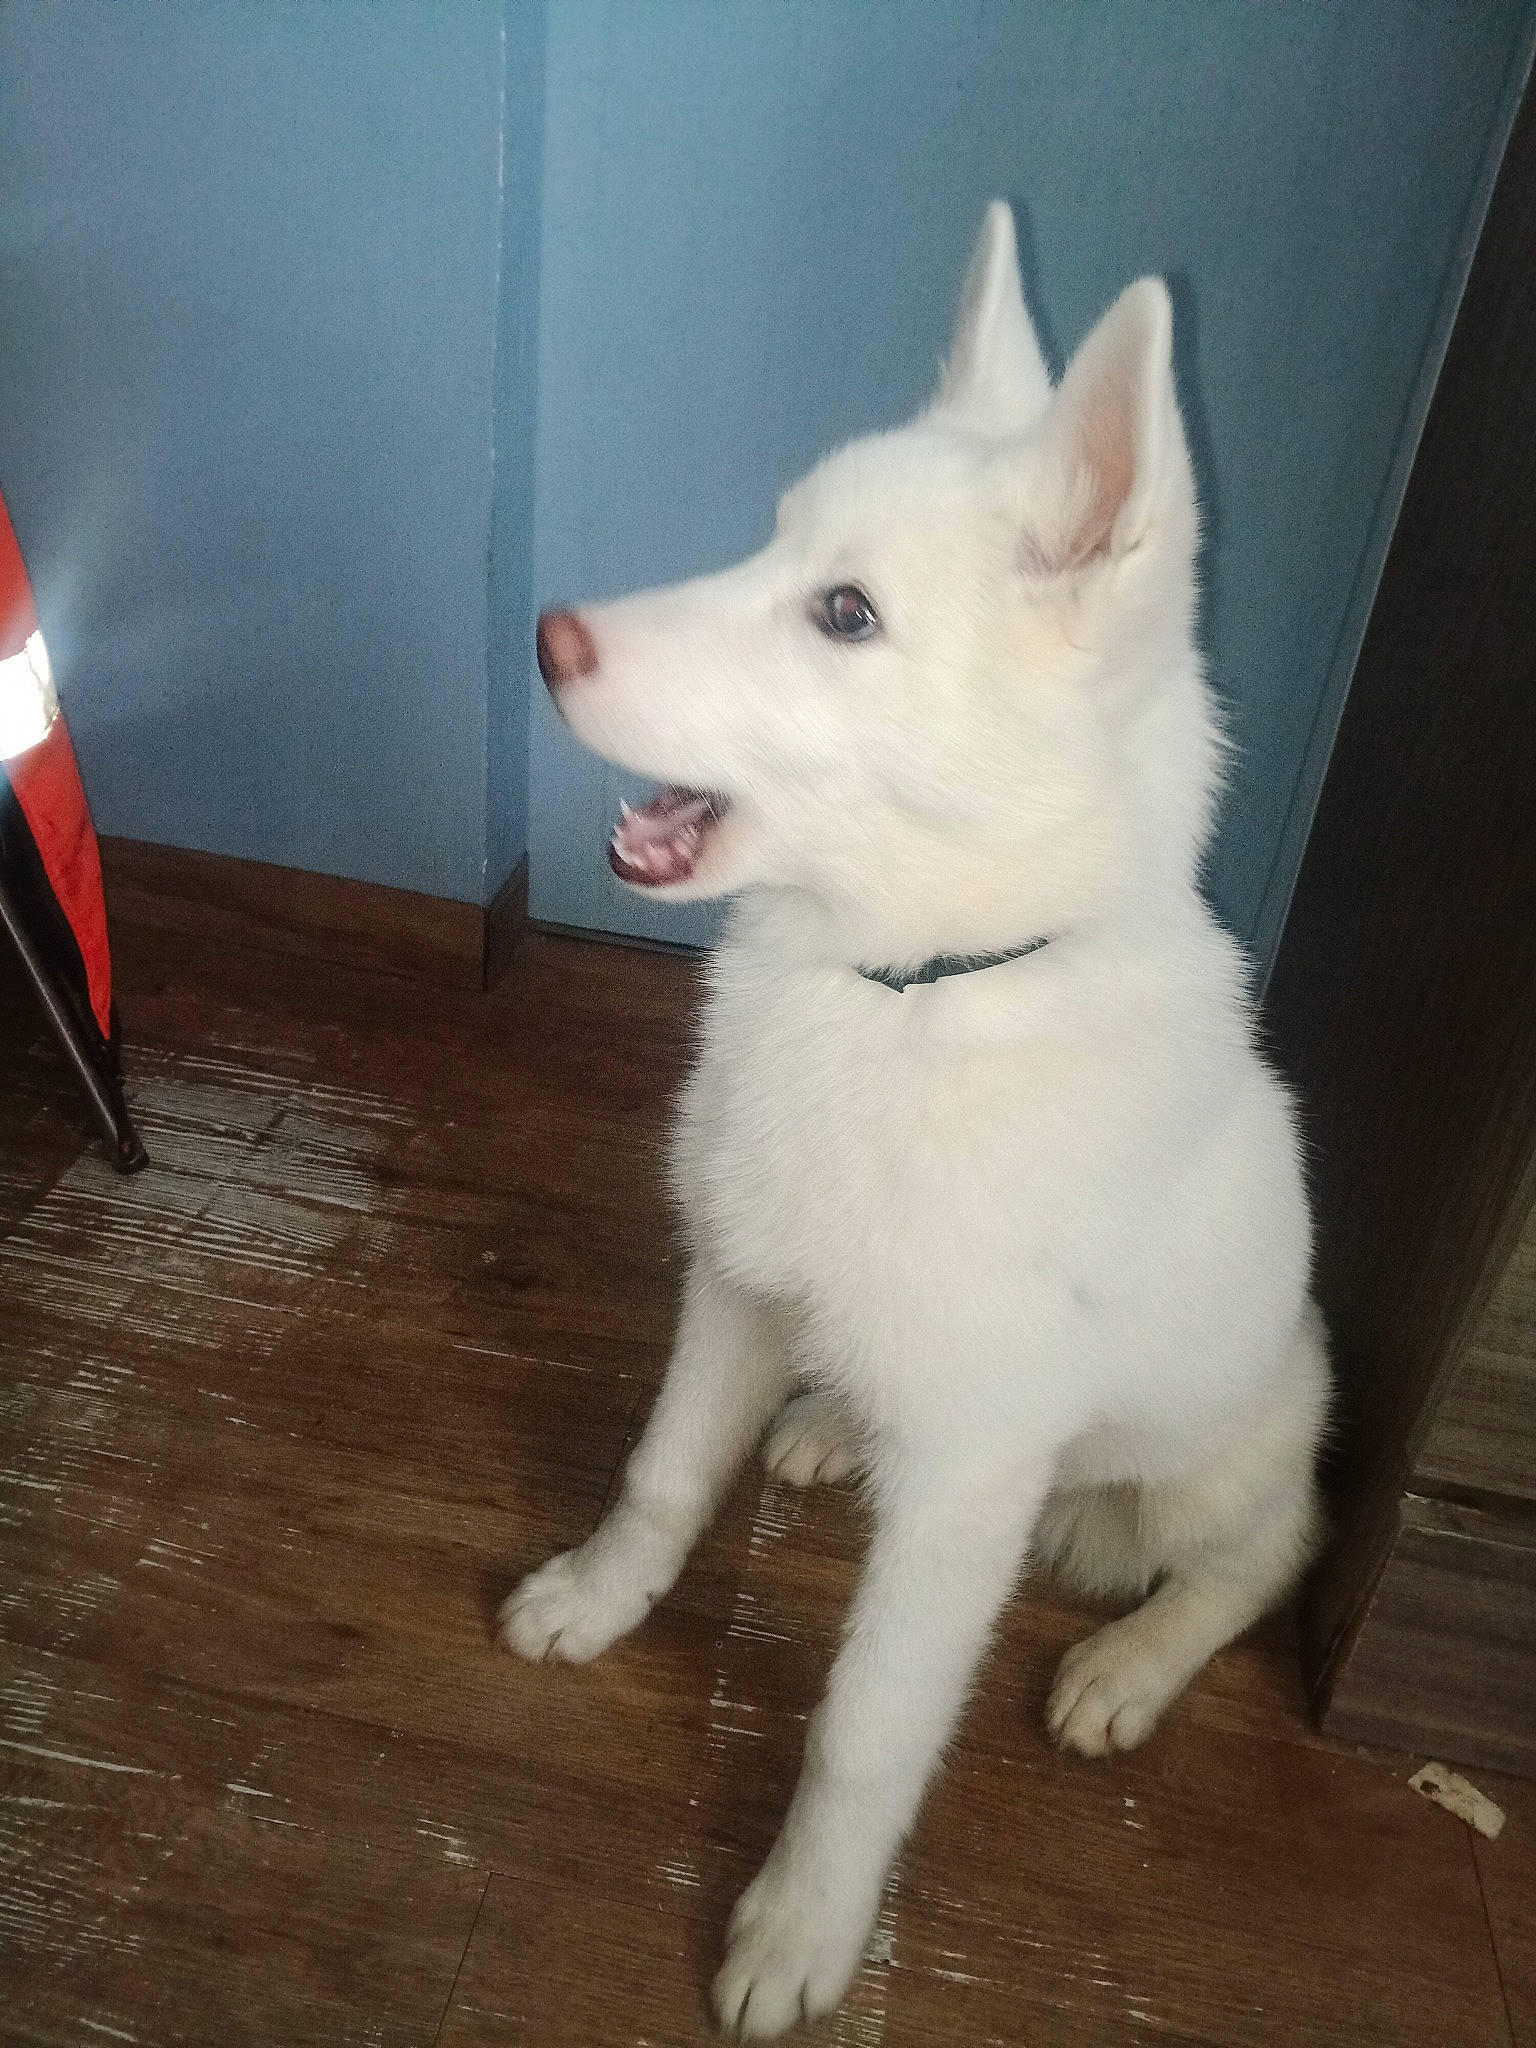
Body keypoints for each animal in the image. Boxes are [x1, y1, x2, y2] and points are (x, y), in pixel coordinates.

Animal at [505, 202, 1329, 2037]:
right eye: (772, 542)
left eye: (845, 614)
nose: (549, 635)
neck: (906, 991)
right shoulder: (734, 1284)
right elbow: (661, 1475)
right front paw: (598, 1597)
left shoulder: (967, 1483)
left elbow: (866, 1729)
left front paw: (803, 1928)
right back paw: (823, 1423)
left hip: (1218, 1453)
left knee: (1262, 1555)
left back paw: (1127, 1661)